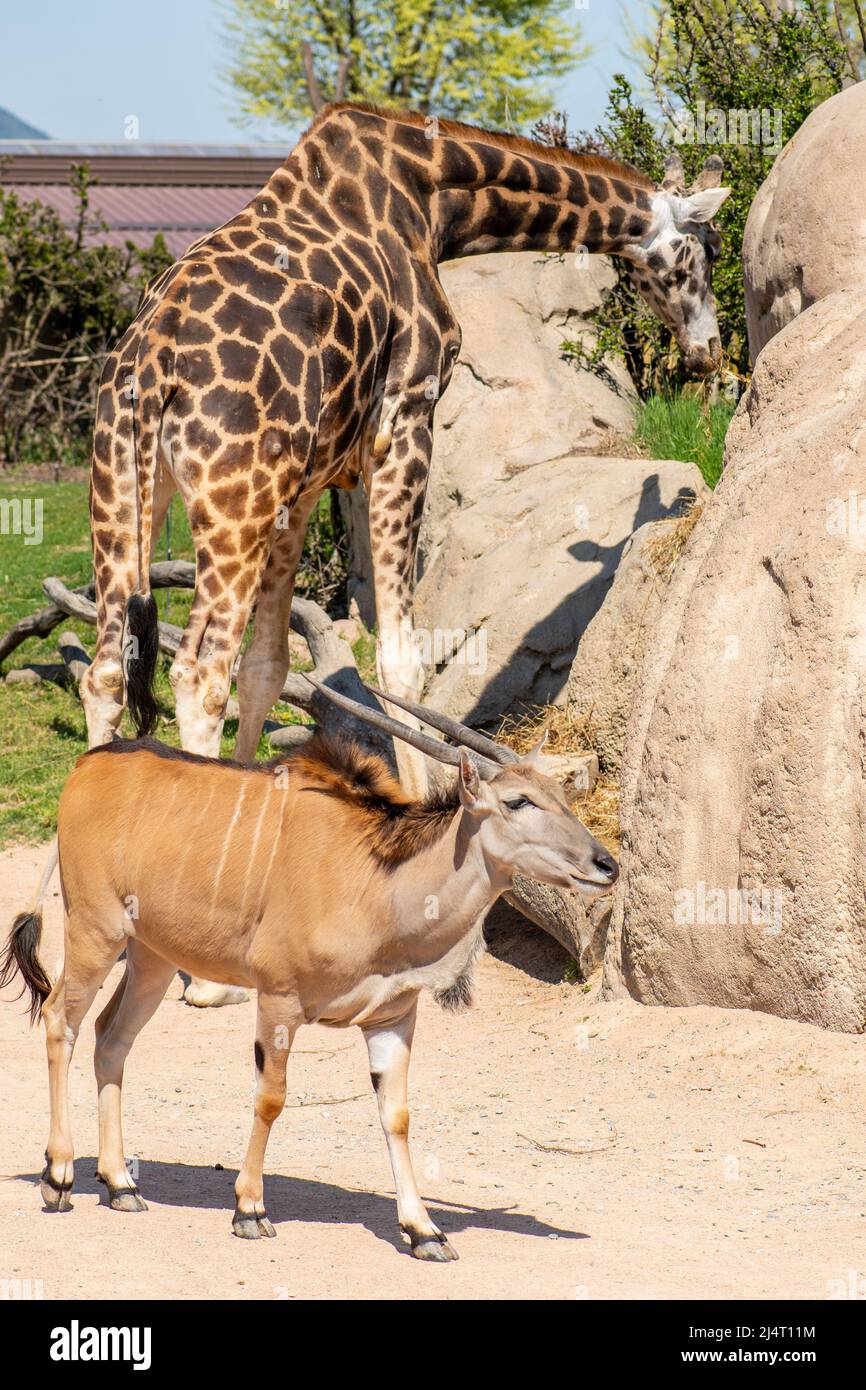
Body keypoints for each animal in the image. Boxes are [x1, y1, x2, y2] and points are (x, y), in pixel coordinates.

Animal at [3, 683, 619, 1262]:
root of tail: (86, 767)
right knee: (60, 1020)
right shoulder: (279, 1000)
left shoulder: (392, 1019)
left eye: (562, 796)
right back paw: (58, 1176)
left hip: (152, 957)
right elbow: (271, 1098)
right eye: (518, 800)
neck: (377, 883)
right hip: (95, 933)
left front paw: (424, 1231)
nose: (606, 864)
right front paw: (250, 1210)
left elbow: (397, 1115)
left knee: (111, 1038)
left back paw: (120, 1183)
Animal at [81, 102, 733, 1006]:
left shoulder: (309, 478)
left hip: (124, 492)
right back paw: (203, 979)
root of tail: (151, 363)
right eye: (704, 252)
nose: (709, 349)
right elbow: (400, 658)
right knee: (196, 673)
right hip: (231, 495)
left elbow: (271, 668)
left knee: (109, 672)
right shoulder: (406, 419)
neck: (432, 198)